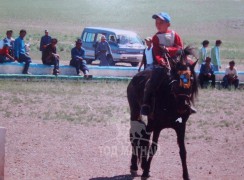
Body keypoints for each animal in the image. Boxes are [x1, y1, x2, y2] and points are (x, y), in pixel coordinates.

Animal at [127, 45, 199, 180]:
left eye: (191, 79)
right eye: (175, 80)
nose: (183, 105)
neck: (171, 102)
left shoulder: (181, 126)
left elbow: (183, 151)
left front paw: (186, 175)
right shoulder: (158, 126)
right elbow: (153, 148)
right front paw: (145, 173)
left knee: (144, 137)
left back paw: (143, 165)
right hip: (135, 112)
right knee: (135, 136)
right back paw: (134, 166)